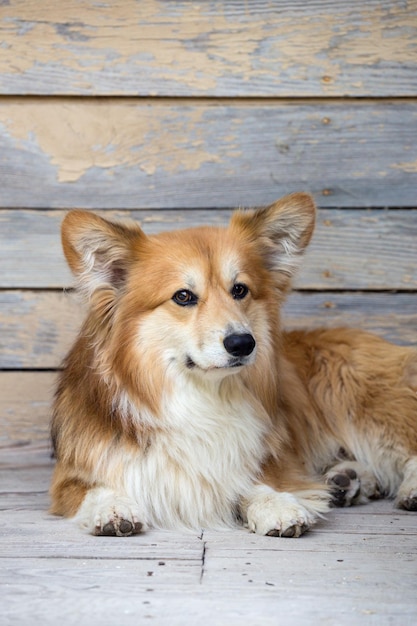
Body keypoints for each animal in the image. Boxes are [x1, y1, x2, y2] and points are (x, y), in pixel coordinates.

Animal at [49, 193, 416, 532]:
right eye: (183, 296)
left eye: (240, 290)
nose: (243, 343)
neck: (203, 398)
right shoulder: (70, 478)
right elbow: (94, 490)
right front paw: (112, 508)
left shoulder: (269, 462)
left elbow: (249, 483)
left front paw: (274, 505)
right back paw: (348, 480)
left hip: (364, 403)